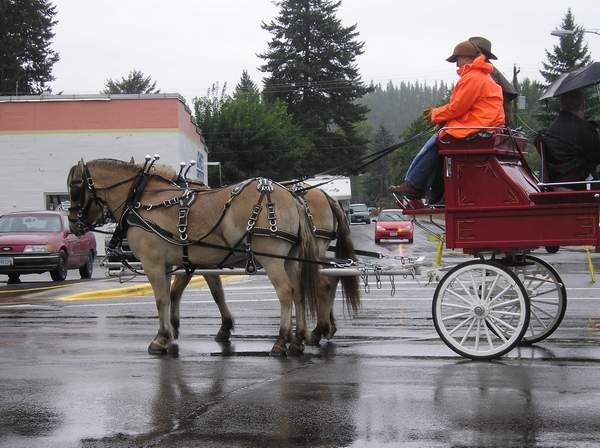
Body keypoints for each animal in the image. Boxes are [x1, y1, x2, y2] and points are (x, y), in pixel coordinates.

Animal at [65, 159, 324, 356]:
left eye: (76, 188)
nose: (73, 224)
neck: (142, 200)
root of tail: (291, 196)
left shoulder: (153, 263)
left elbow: (161, 299)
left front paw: (161, 338)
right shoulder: (179, 263)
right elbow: (184, 294)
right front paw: (172, 332)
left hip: (271, 258)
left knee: (286, 292)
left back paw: (281, 341)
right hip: (290, 258)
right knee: (299, 292)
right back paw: (297, 341)